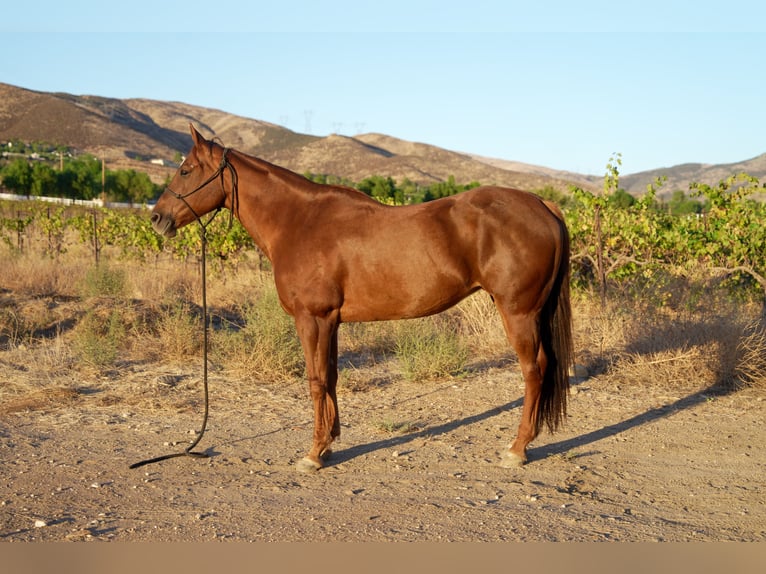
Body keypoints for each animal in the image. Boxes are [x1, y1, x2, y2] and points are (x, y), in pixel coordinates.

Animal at [151, 124, 573, 472]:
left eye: (186, 170)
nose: (157, 218)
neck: (298, 221)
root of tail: (543, 205)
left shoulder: (312, 318)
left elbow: (316, 380)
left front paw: (313, 454)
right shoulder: (331, 322)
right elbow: (332, 377)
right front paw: (328, 445)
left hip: (518, 312)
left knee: (534, 370)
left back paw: (517, 449)